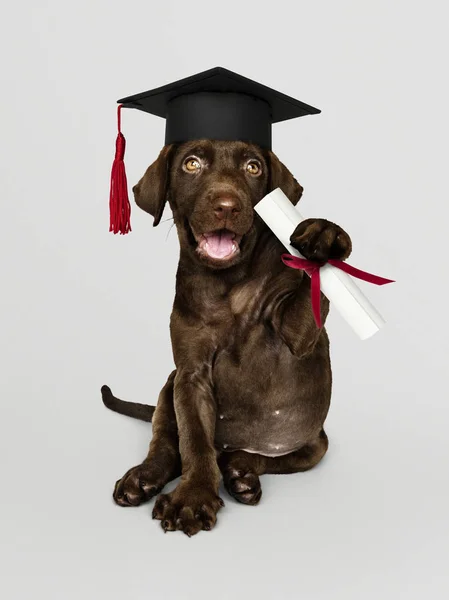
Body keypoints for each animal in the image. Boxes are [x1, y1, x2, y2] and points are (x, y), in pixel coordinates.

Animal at [101, 139, 350, 536]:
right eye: (191, 164)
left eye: (253, 167)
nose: (227, 206)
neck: (228, 285)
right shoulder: (190, 375)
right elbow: (194, 440)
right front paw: (193, 497)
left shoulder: (297, 335)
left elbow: (311, 290)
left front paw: (326, 236)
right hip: (169, 385)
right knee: (167, 443)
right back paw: (144, 477)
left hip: (314, 443)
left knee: (268, 457)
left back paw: (241, 471)